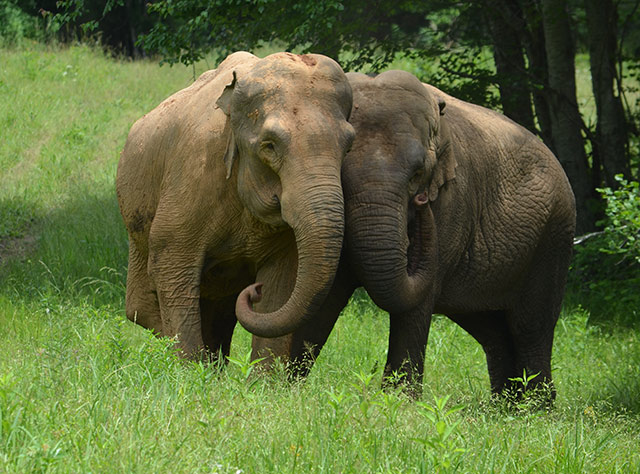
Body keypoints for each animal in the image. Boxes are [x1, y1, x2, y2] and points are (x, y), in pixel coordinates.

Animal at [115, 51, 356, 360]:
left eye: (348, 146)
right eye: (269, 145)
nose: (253, 291)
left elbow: (282, 285)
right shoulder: (192, 175)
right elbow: (171, 266)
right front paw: (192, 369)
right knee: (143, 310)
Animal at [252, 68, 576, 398]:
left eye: (418, 175)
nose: (422, 203)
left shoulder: (452, 202)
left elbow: (416, 302)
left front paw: (397, 401)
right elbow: (327, 296)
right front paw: (288, 388)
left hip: (554, 236)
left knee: (531, 327)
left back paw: (535, 406)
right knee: (492, 330)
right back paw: (505, 405)